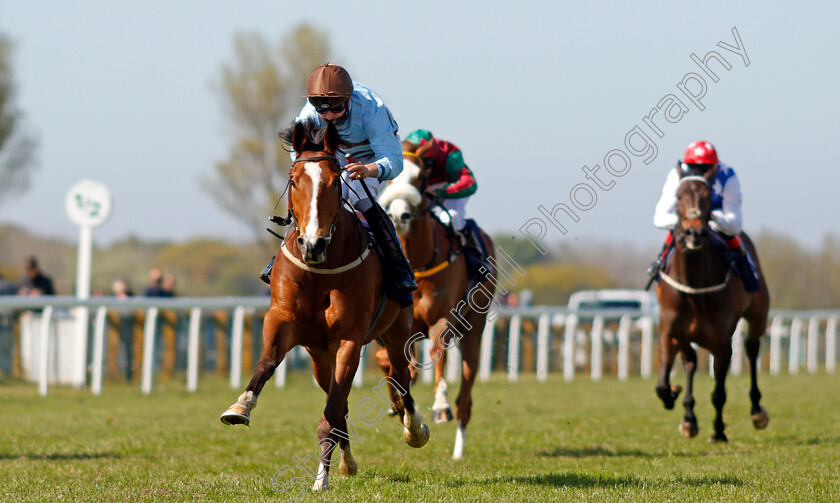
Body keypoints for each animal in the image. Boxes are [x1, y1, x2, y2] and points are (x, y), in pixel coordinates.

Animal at [220, 119, 430, 492]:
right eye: (293, 180)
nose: (312, 244)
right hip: (320, 357)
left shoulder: (349, 338)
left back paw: (414, 430)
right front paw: (240, 406)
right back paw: (348, 462)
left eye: (334, 182)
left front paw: (321, 480)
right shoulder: (283, 320)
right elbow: (267, 362)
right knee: (342, 399)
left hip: (395, 332)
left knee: (401, 380)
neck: (320, 269)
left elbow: (331, 414)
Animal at [376, 151, 498, 460]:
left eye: (420, 178)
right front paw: (398, 404)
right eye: (389, 178)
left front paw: (439, 405)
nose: (399, 216)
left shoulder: (441, 318)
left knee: (465, 398)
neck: (417, 263)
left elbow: (438, 350)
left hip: (474, 330)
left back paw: (458, 449)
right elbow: (386, 361)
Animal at [660, 167, 772, 442]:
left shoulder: (722, 341)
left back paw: (757, 411)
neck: (694, 290)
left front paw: (719, 431)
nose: (694, 233)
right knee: (690, 362)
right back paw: (689, 417)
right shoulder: (671, 332)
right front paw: (674, 397)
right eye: (678, 195)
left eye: (708, 196)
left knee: (752, 348)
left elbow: (719, 392)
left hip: (758, 315)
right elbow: (662, 384)